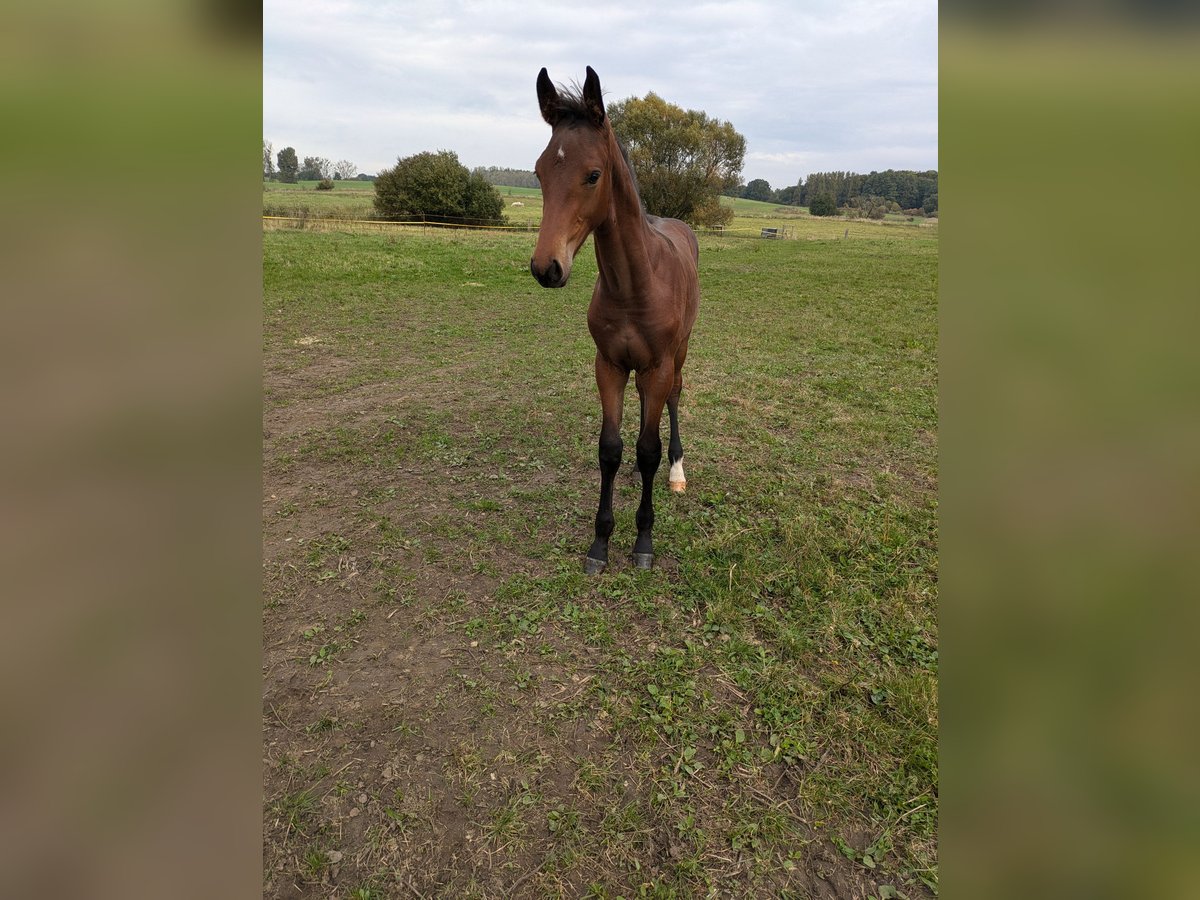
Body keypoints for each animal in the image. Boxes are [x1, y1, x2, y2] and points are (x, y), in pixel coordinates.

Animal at [530, 68, 700, 578]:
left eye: (593, 174)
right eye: (539, 172)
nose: (546, 268)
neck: (633, 287)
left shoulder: (657, 365)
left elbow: (647, 449)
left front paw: (643, 540)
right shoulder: (608, 366)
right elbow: (610, 448)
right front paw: (600, 543)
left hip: (678, 354)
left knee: (674, 399)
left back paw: (677, 471)